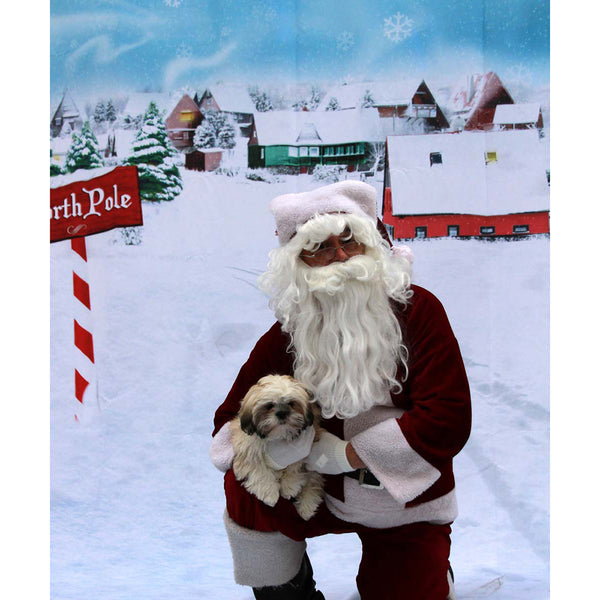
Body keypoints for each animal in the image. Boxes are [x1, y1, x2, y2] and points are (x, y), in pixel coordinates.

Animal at [230, 376, 324, 520]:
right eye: (269, 406)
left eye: (291, 403)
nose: (282, 413)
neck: (278, 436)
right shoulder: (248, 449)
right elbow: (258, 470)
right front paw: (269, 493)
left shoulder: (304, 446)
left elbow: (295, 466)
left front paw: (290, 485)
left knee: (312, 479)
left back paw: (307, 506)